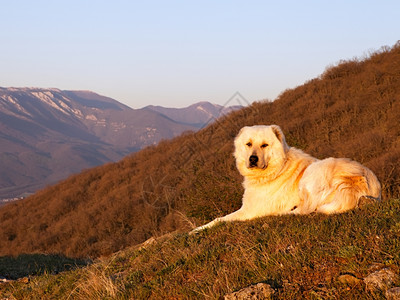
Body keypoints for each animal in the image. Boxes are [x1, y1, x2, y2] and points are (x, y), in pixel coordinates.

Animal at [193, 124, 382, 232]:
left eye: (264, 145)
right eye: (248, 144)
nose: (252, 159)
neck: (276, 168)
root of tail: (359, 179)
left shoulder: (249, 211)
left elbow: (219, 219)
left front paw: (196, 230)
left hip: (311, 174)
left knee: (305, 210)